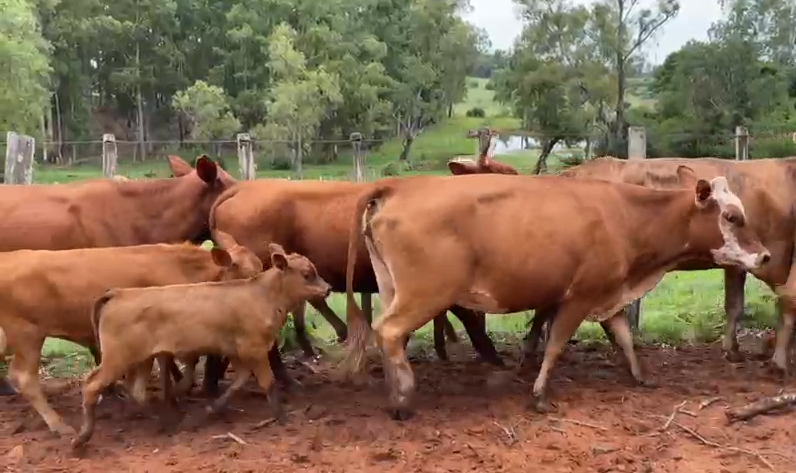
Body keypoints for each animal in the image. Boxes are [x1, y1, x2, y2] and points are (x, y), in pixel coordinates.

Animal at [0, 232, 262, 436]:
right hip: (27, 336)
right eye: (248, 275)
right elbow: (176, 365)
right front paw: (172, 400)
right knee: (25, 378)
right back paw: (59, 425)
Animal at [70, 242, 328, 448]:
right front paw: (282, 417)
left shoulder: (236, 353)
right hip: (117, 359)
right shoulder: (254, 350)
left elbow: (240, 381)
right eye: (307, 274)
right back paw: (82, 438)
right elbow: (268, 383)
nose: (327, 289)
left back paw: (168, 423)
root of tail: (118, 293)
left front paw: (211, 409)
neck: (261, 295)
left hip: (142, 359)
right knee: (91, 386)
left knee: (137, 391)